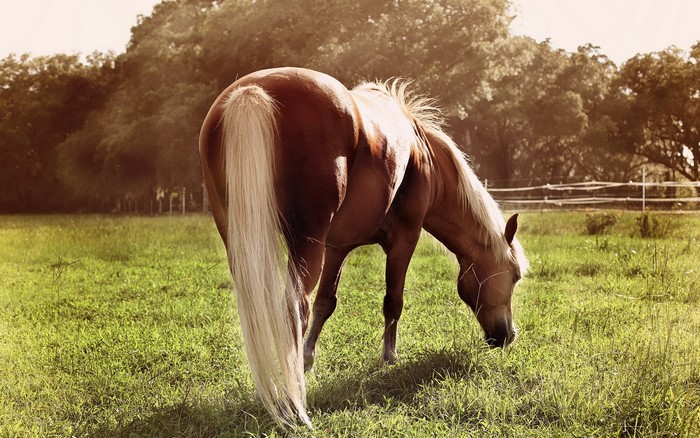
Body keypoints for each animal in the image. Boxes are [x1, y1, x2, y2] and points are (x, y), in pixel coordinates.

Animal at [198, 67, 528, 427]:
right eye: (514, 275)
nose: (507, 335)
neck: (422, 152)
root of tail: (253, 92)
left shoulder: (336, 247)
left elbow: (326, 303)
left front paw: (309, 359)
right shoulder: (404, 238)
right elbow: (393, 302)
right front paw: (388, 358)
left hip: (243, 240)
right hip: (305, 244)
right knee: (294, 307)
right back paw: (293, 395)